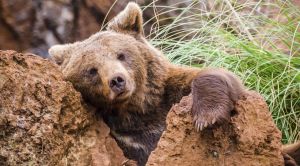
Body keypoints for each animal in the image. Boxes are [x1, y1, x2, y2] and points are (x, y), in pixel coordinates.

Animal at [47, 2, 253, 166]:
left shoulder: (170, 94)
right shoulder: (125, 138)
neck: (138, 109)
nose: (117, 80)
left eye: (120, 55)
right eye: (92, 70)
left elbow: (216, 76)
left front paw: (207, 117)